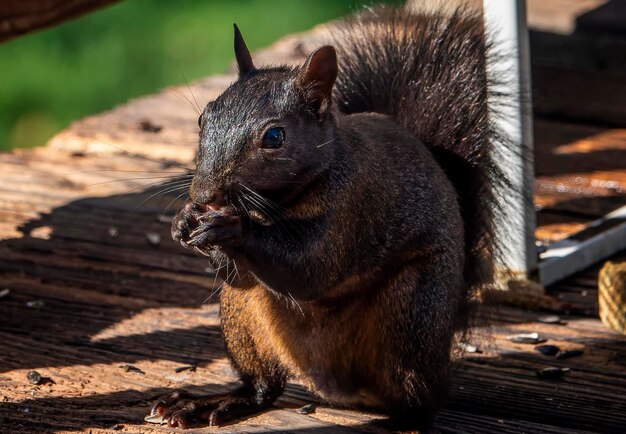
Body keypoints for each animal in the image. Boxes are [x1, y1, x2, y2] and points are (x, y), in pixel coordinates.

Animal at [149, 4, 510, 430]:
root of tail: (334, 384)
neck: (273, 203)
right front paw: (185, 220)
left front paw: (230, 227)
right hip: (242, 318)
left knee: (424, 396)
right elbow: (240, 273)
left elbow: (311, 266)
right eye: (204, 118)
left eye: (274, 137)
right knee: (263, 386)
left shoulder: (355, 203)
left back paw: (396, 421)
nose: (204, 195)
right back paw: (212, 403)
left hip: (414, 312)